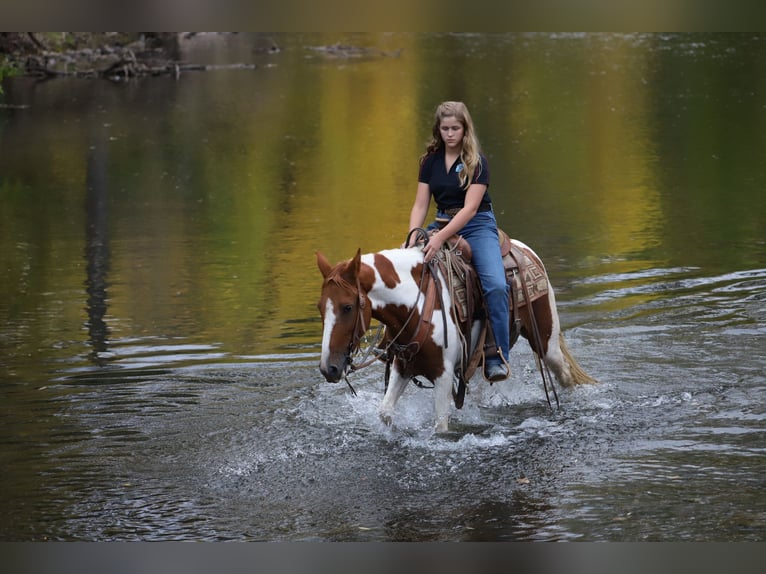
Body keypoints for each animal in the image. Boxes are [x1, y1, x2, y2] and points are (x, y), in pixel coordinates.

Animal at [316, 236, 596, 434]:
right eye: (320, 307)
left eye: (347, 307)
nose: (328, 369)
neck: (417, 302)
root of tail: (525, 249)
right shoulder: (402, 366)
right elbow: (384, 413)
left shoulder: (442, 373)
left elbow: (440, 426)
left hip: (546, 341)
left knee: (564, 374)